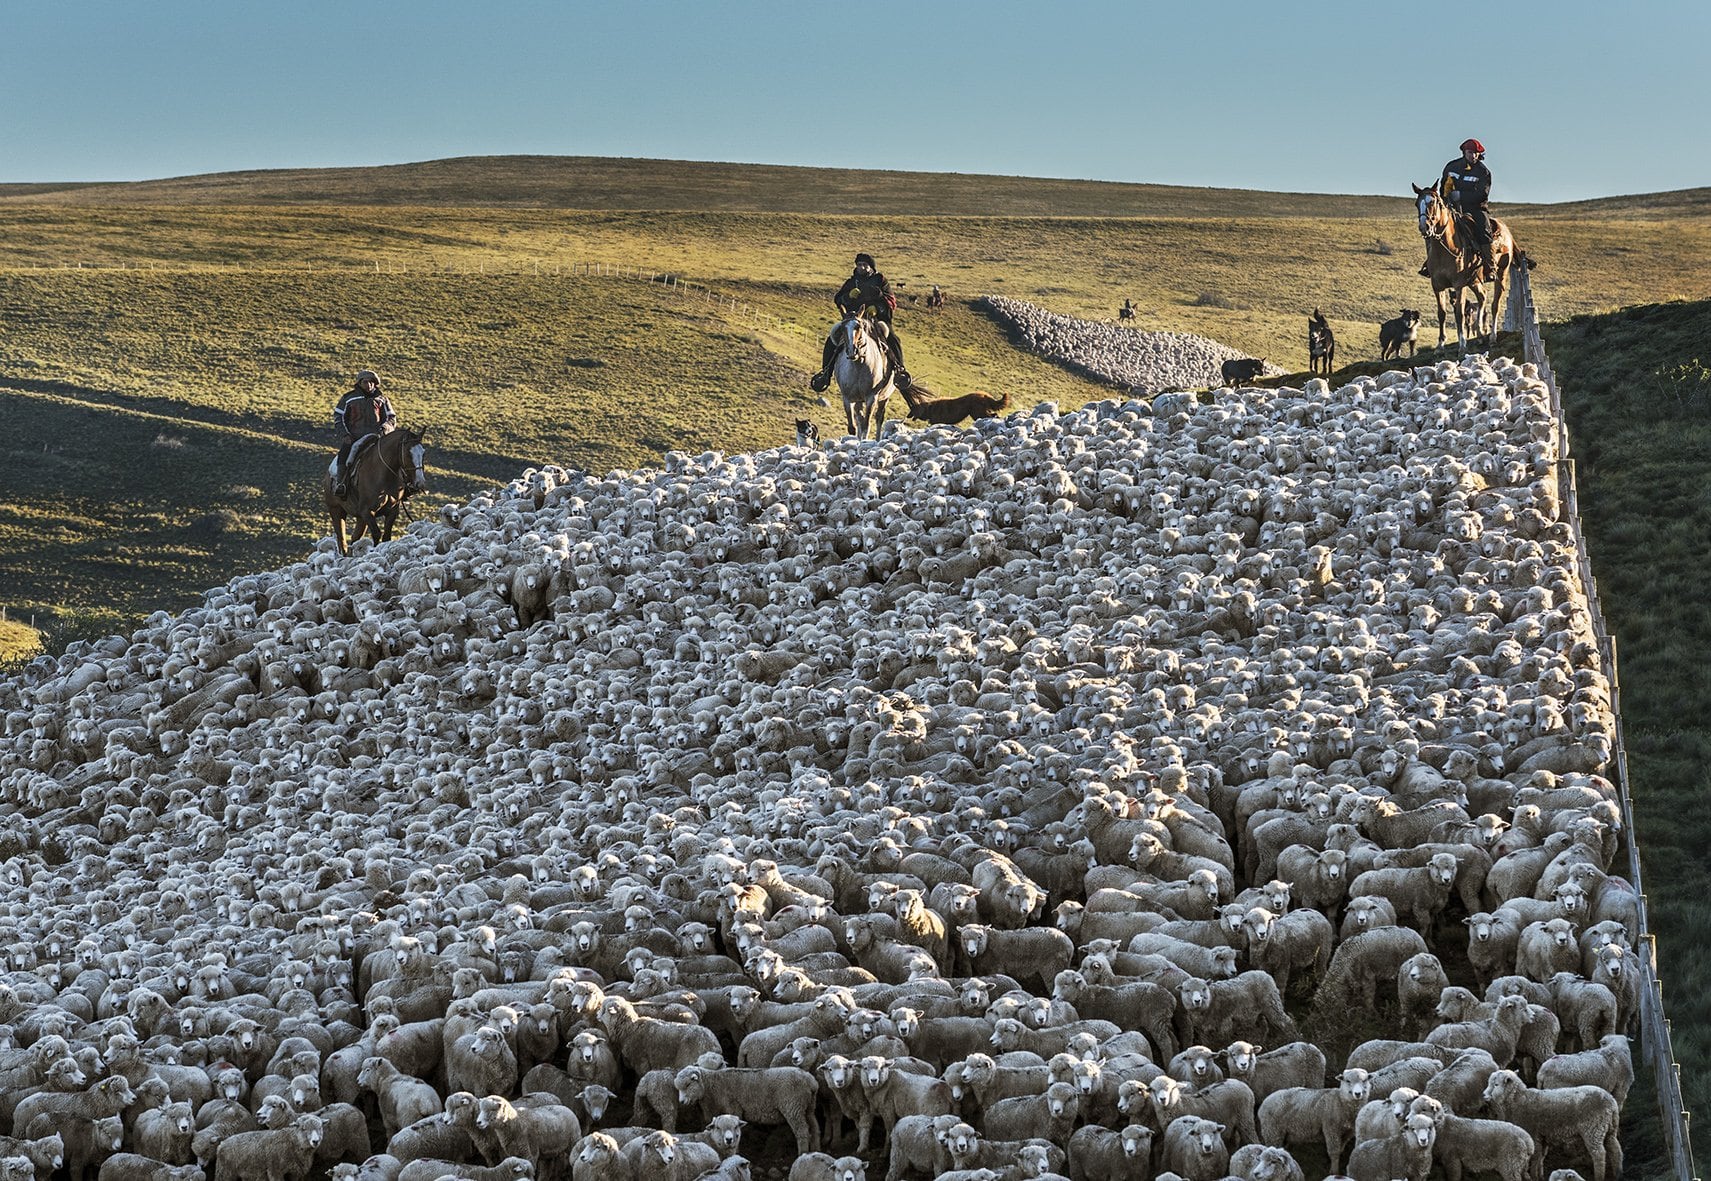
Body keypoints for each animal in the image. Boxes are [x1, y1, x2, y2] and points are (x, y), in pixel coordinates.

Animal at [323, 426, 427, 554]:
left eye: (423, 453)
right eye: (408, 453)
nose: (420, 482)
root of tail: (328, 476)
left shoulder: (392, 511)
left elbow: (386, 536)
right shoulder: (367, 512)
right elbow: (377, 534)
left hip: (360, 519)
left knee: (355, 538)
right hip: (336, 510)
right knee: (342, 540)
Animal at [828, 309, 896, 438]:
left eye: (858, 327)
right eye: (843, 328)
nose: (852, 351)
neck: (858, 367)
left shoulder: (871, 398)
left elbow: (866, 425)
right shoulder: (847, 398)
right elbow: (852, 427)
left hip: (884, 397)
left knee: (879, 417)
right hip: (858, 400)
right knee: (860, 418)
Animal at [1416, 181, 1512, 352]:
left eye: (1432, 202)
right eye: (1416, 203)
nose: (1424, 227)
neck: (1445, 248)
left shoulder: (1459, 285)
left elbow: (1459, 313)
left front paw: (1462, 345)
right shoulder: (1437, 285)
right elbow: (1441, 313)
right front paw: (1440, 344)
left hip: (1501, 273)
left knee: (1495, 304)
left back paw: (1492, 337)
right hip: (1474, 280)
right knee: (1482, 297)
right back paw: (1480, 334)